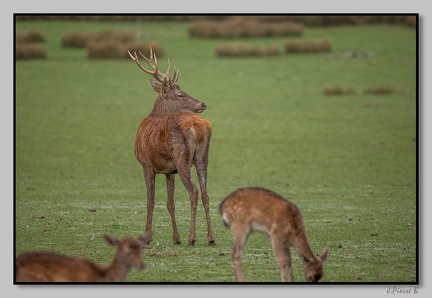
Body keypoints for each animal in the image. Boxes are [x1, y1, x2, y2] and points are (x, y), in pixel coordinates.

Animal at [128, 47, 216, 247]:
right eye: (181, 94)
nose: (203, 104)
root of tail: (198, 126)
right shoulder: (169, 171)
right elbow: (170, 203)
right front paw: (176, 238)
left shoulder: (146, 164)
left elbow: (150, 201)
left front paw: (147, 237)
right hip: (202, 158)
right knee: (205, 193)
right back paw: (211, 238)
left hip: (182, 157)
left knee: (194, 191)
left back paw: (192, 238)